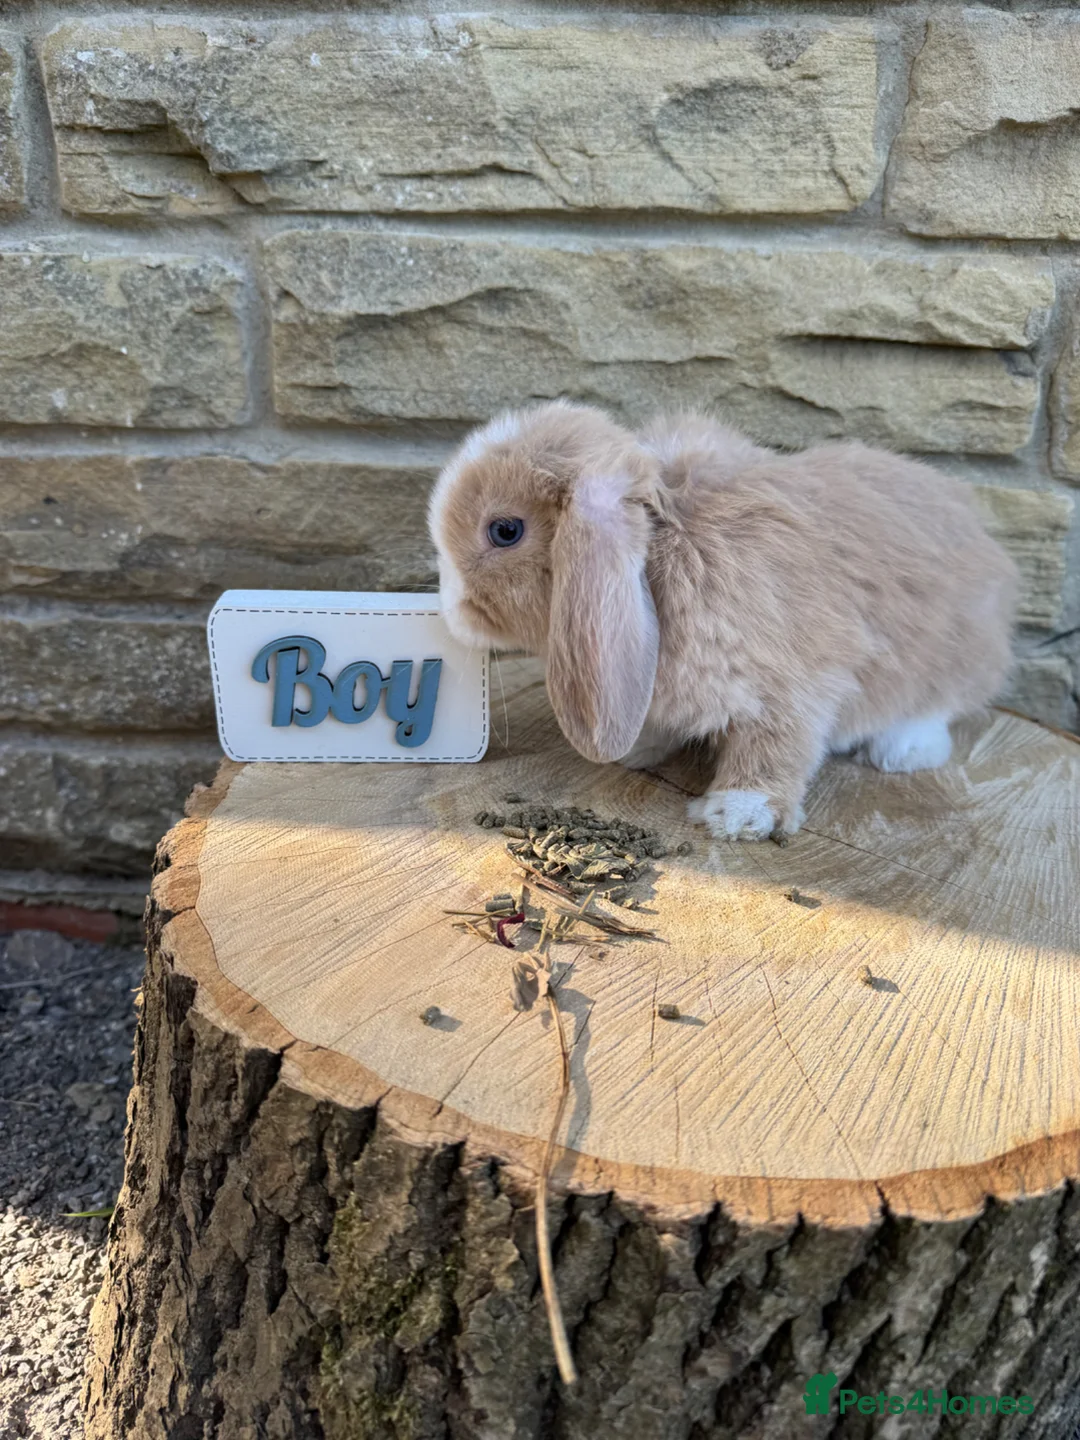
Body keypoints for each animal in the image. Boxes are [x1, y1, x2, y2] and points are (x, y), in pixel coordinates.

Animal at [428, 400, 1017, 840]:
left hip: (954, 655)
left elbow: (777, 743)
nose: (451, 610)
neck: (661, 548)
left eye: (505, 530)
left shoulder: (793, 683)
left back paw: (902, 751)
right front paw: (639, 749)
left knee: (938, 706)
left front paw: (738, 814)